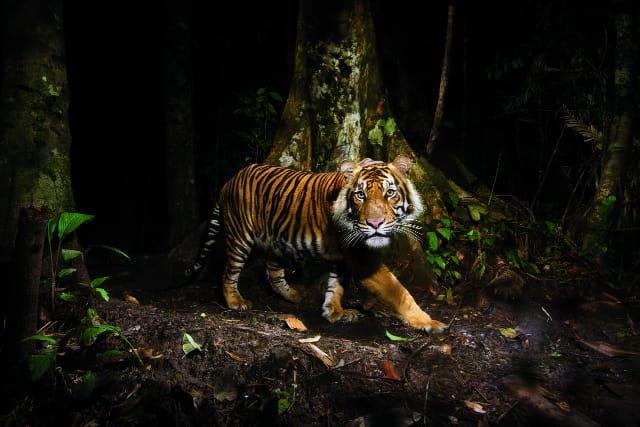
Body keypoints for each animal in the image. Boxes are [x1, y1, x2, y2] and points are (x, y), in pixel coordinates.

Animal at [185, 154, 447, 333]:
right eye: (360, 195)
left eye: (389, 193)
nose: (375, 223)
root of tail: (229, 181)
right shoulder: (362, 259)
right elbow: (400, 292)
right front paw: (429, 322)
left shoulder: (342, 257)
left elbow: (336, 286)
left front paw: (334, 312)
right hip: (241, 236)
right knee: (229, 272)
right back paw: (235, 302)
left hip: (277, 242)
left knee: (273, 272)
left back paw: (294, 295)